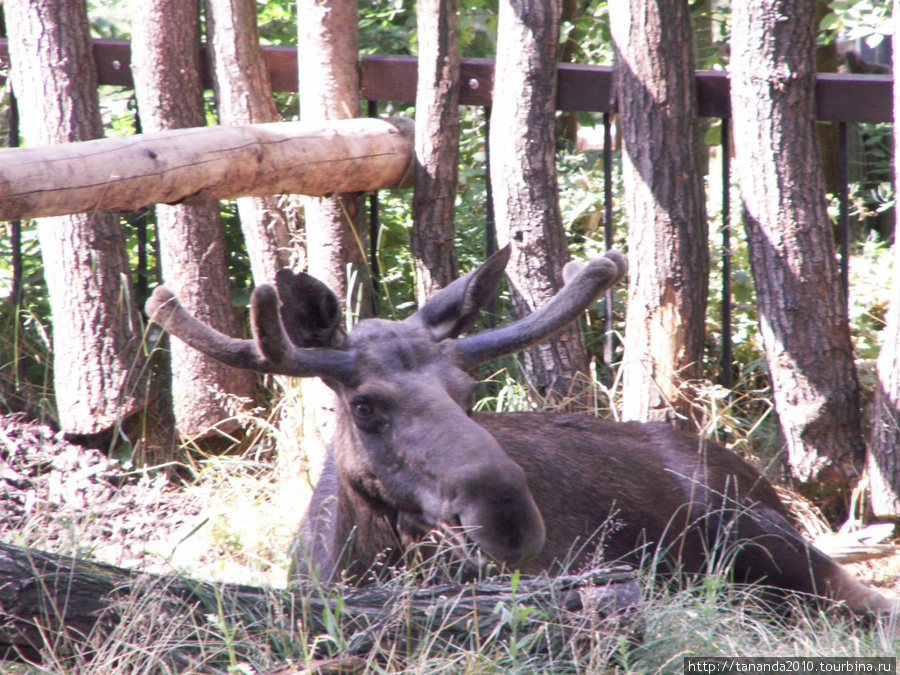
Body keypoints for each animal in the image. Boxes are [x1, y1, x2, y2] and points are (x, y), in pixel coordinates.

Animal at [146, 247, 892, 616]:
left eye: (469, 392)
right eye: (366, 406)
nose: (508, 516)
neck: (355, 558)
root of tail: (754, 475)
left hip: (759, 535)